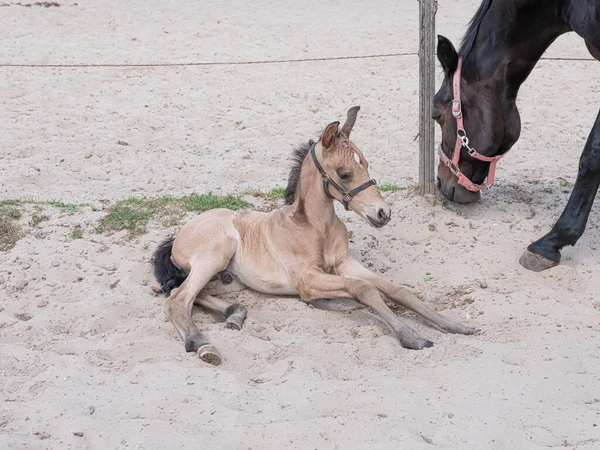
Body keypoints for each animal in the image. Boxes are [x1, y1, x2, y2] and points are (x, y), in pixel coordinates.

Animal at [151, 107, 478, 364]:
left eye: (366, 163)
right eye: (344, 173)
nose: (383, 213)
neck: (314, 227)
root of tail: (177, 236)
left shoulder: (345, 263)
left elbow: (398, 290)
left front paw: (455, 326)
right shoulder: (307, 280)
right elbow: (364, 289)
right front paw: (411, 336)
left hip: (227, 280)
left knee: (193, 294)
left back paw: (235, 314)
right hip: (216, 253)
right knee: (178, 300)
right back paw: (203, 345)